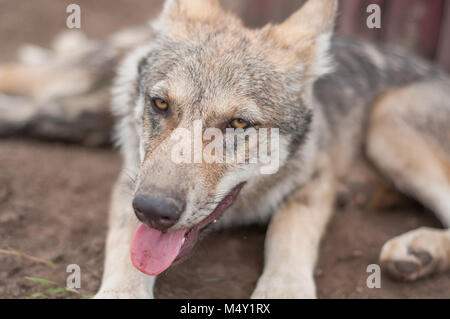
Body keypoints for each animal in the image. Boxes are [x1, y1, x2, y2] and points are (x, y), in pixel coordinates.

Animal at [0, 0, 450, 300]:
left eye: (238, 124)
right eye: (160, 104)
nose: (152, 210)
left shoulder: (317, 179)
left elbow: (287, 234)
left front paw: (283, 288)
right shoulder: (130, 179)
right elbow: (126, 256)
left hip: (387, 119)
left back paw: (419, 248)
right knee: (28, 83)